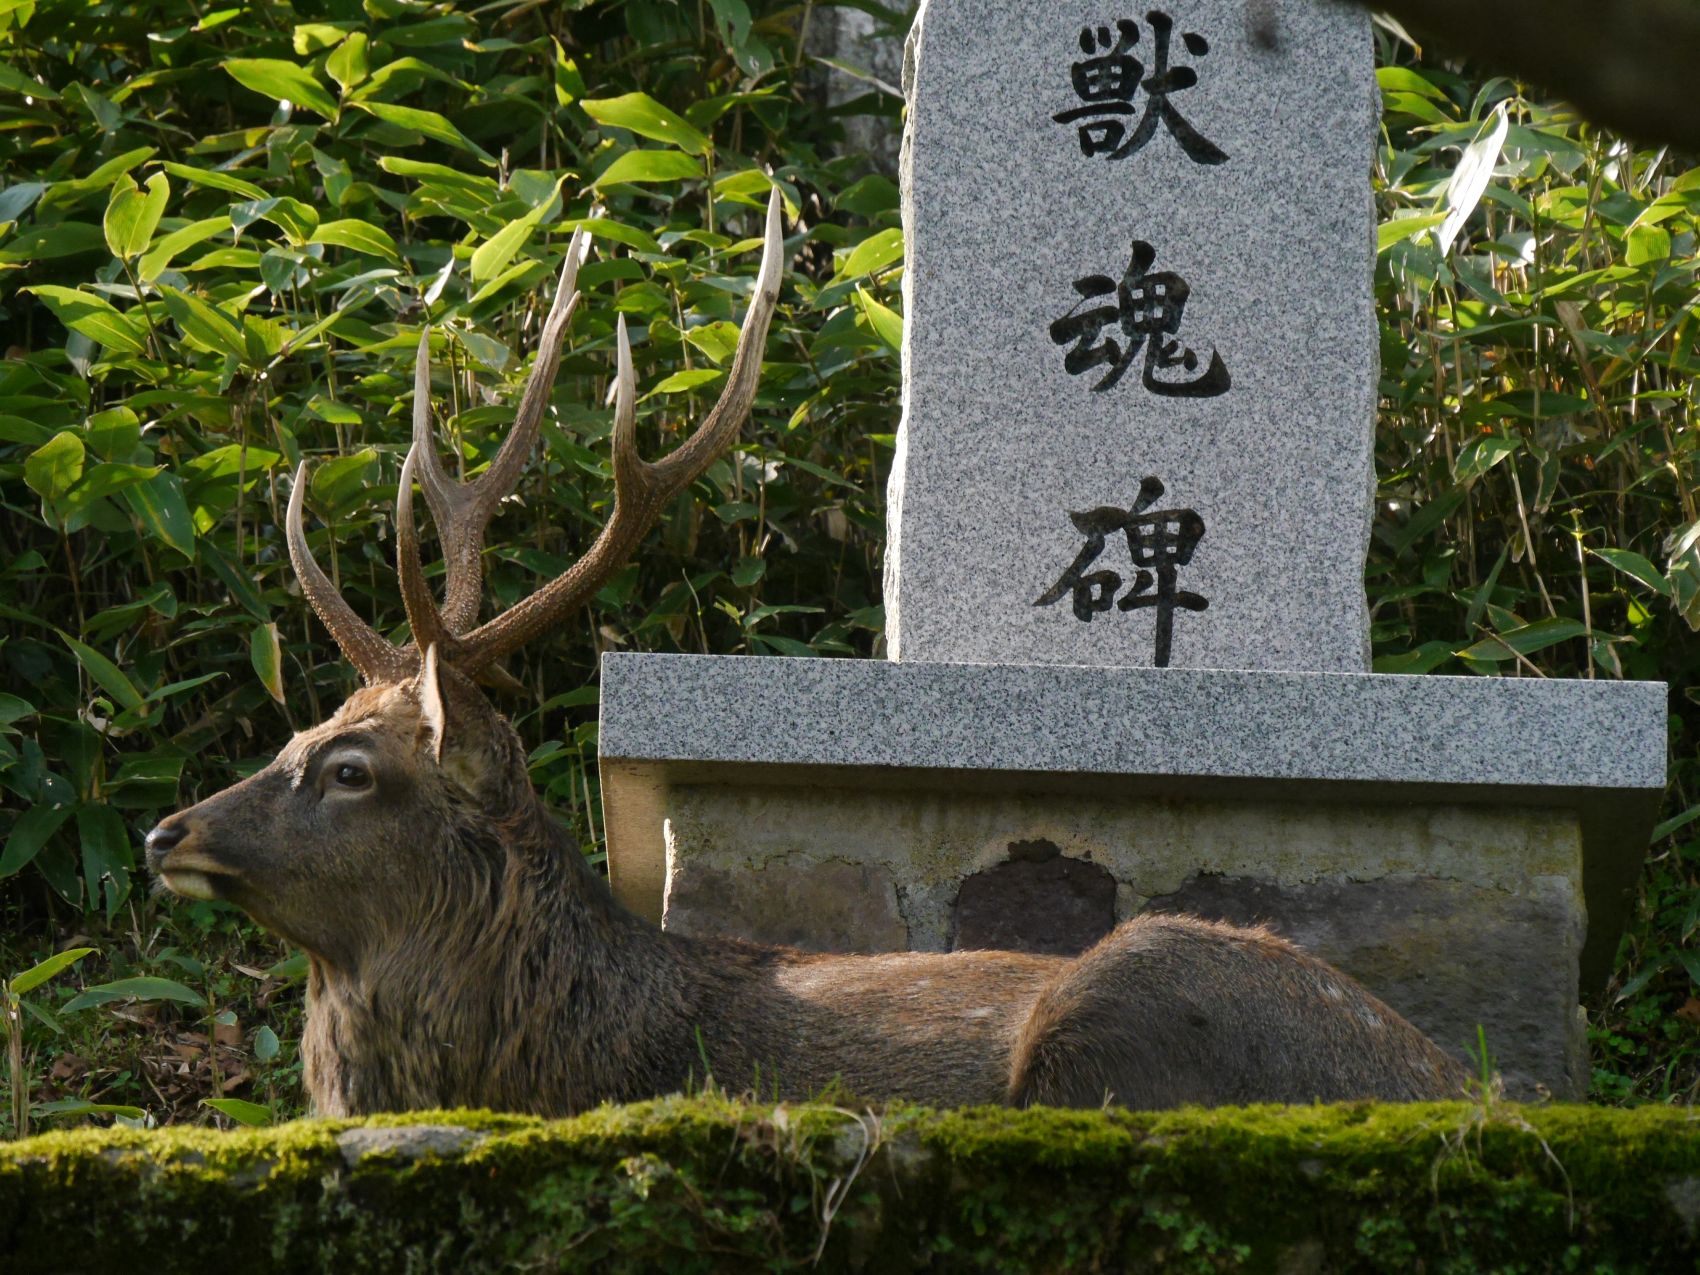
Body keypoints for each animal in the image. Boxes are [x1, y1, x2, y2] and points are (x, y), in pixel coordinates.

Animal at [144, 191, 1468, 1116]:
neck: (553, 1056)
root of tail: (1449, 1085)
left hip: (1129, 998)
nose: (169, 832)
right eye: (295, 733)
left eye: (351, 769)